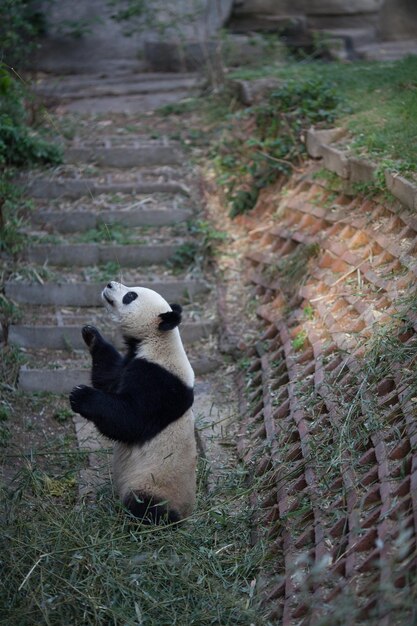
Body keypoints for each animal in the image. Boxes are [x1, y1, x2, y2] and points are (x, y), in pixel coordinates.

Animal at [68, 282, 197, 520]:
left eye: (130, 295)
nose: (109, 284)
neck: (157, 340)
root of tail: (185, 515)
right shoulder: (131, 362)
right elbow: (108, 378)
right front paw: (91, 334)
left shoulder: (160, 382)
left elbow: (131, 420)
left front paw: (80, 395)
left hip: (153, 484)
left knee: (146, 506)